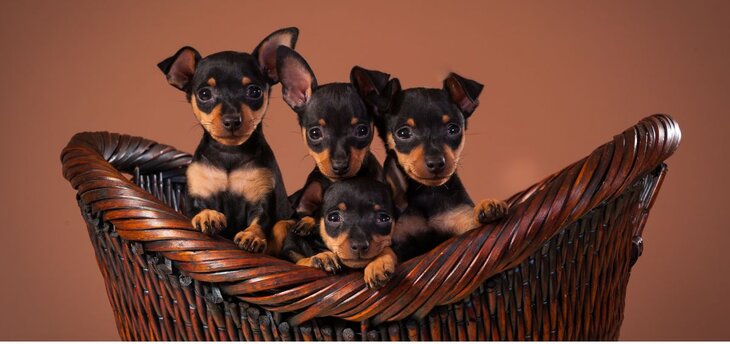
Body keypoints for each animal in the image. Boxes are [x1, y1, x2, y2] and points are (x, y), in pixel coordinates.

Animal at [158, 28, 298, 254]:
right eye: (204, 94)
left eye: (254, 91)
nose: (232, 120)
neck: (230, 154)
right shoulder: (196, 195)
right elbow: (196, 209)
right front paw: (207, 215)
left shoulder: (262, 200)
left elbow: (260, 221)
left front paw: (252, 236)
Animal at [352, 68, 506, 260]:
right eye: (403, 133)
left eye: (453, 129)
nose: (436, 163)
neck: (426, 193)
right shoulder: (399, 238)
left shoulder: (462, 222)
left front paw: (487, 205)